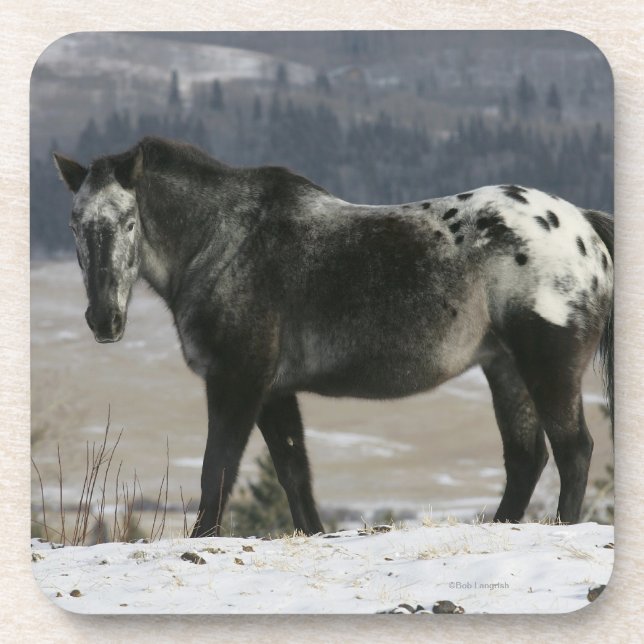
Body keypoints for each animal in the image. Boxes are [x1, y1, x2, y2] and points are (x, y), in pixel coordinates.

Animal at [53, 136, 614, 537]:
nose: (104, 320)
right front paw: (314, 533)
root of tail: (584, 227)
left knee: (573, 449)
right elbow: (293, 471)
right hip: (505, 368)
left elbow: (218, 469)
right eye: (75, 224)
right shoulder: (273, 391)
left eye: (129, 222)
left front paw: (202, 537)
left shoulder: (237, 380)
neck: (224, 241)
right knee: (526, 458)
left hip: (548, 365)